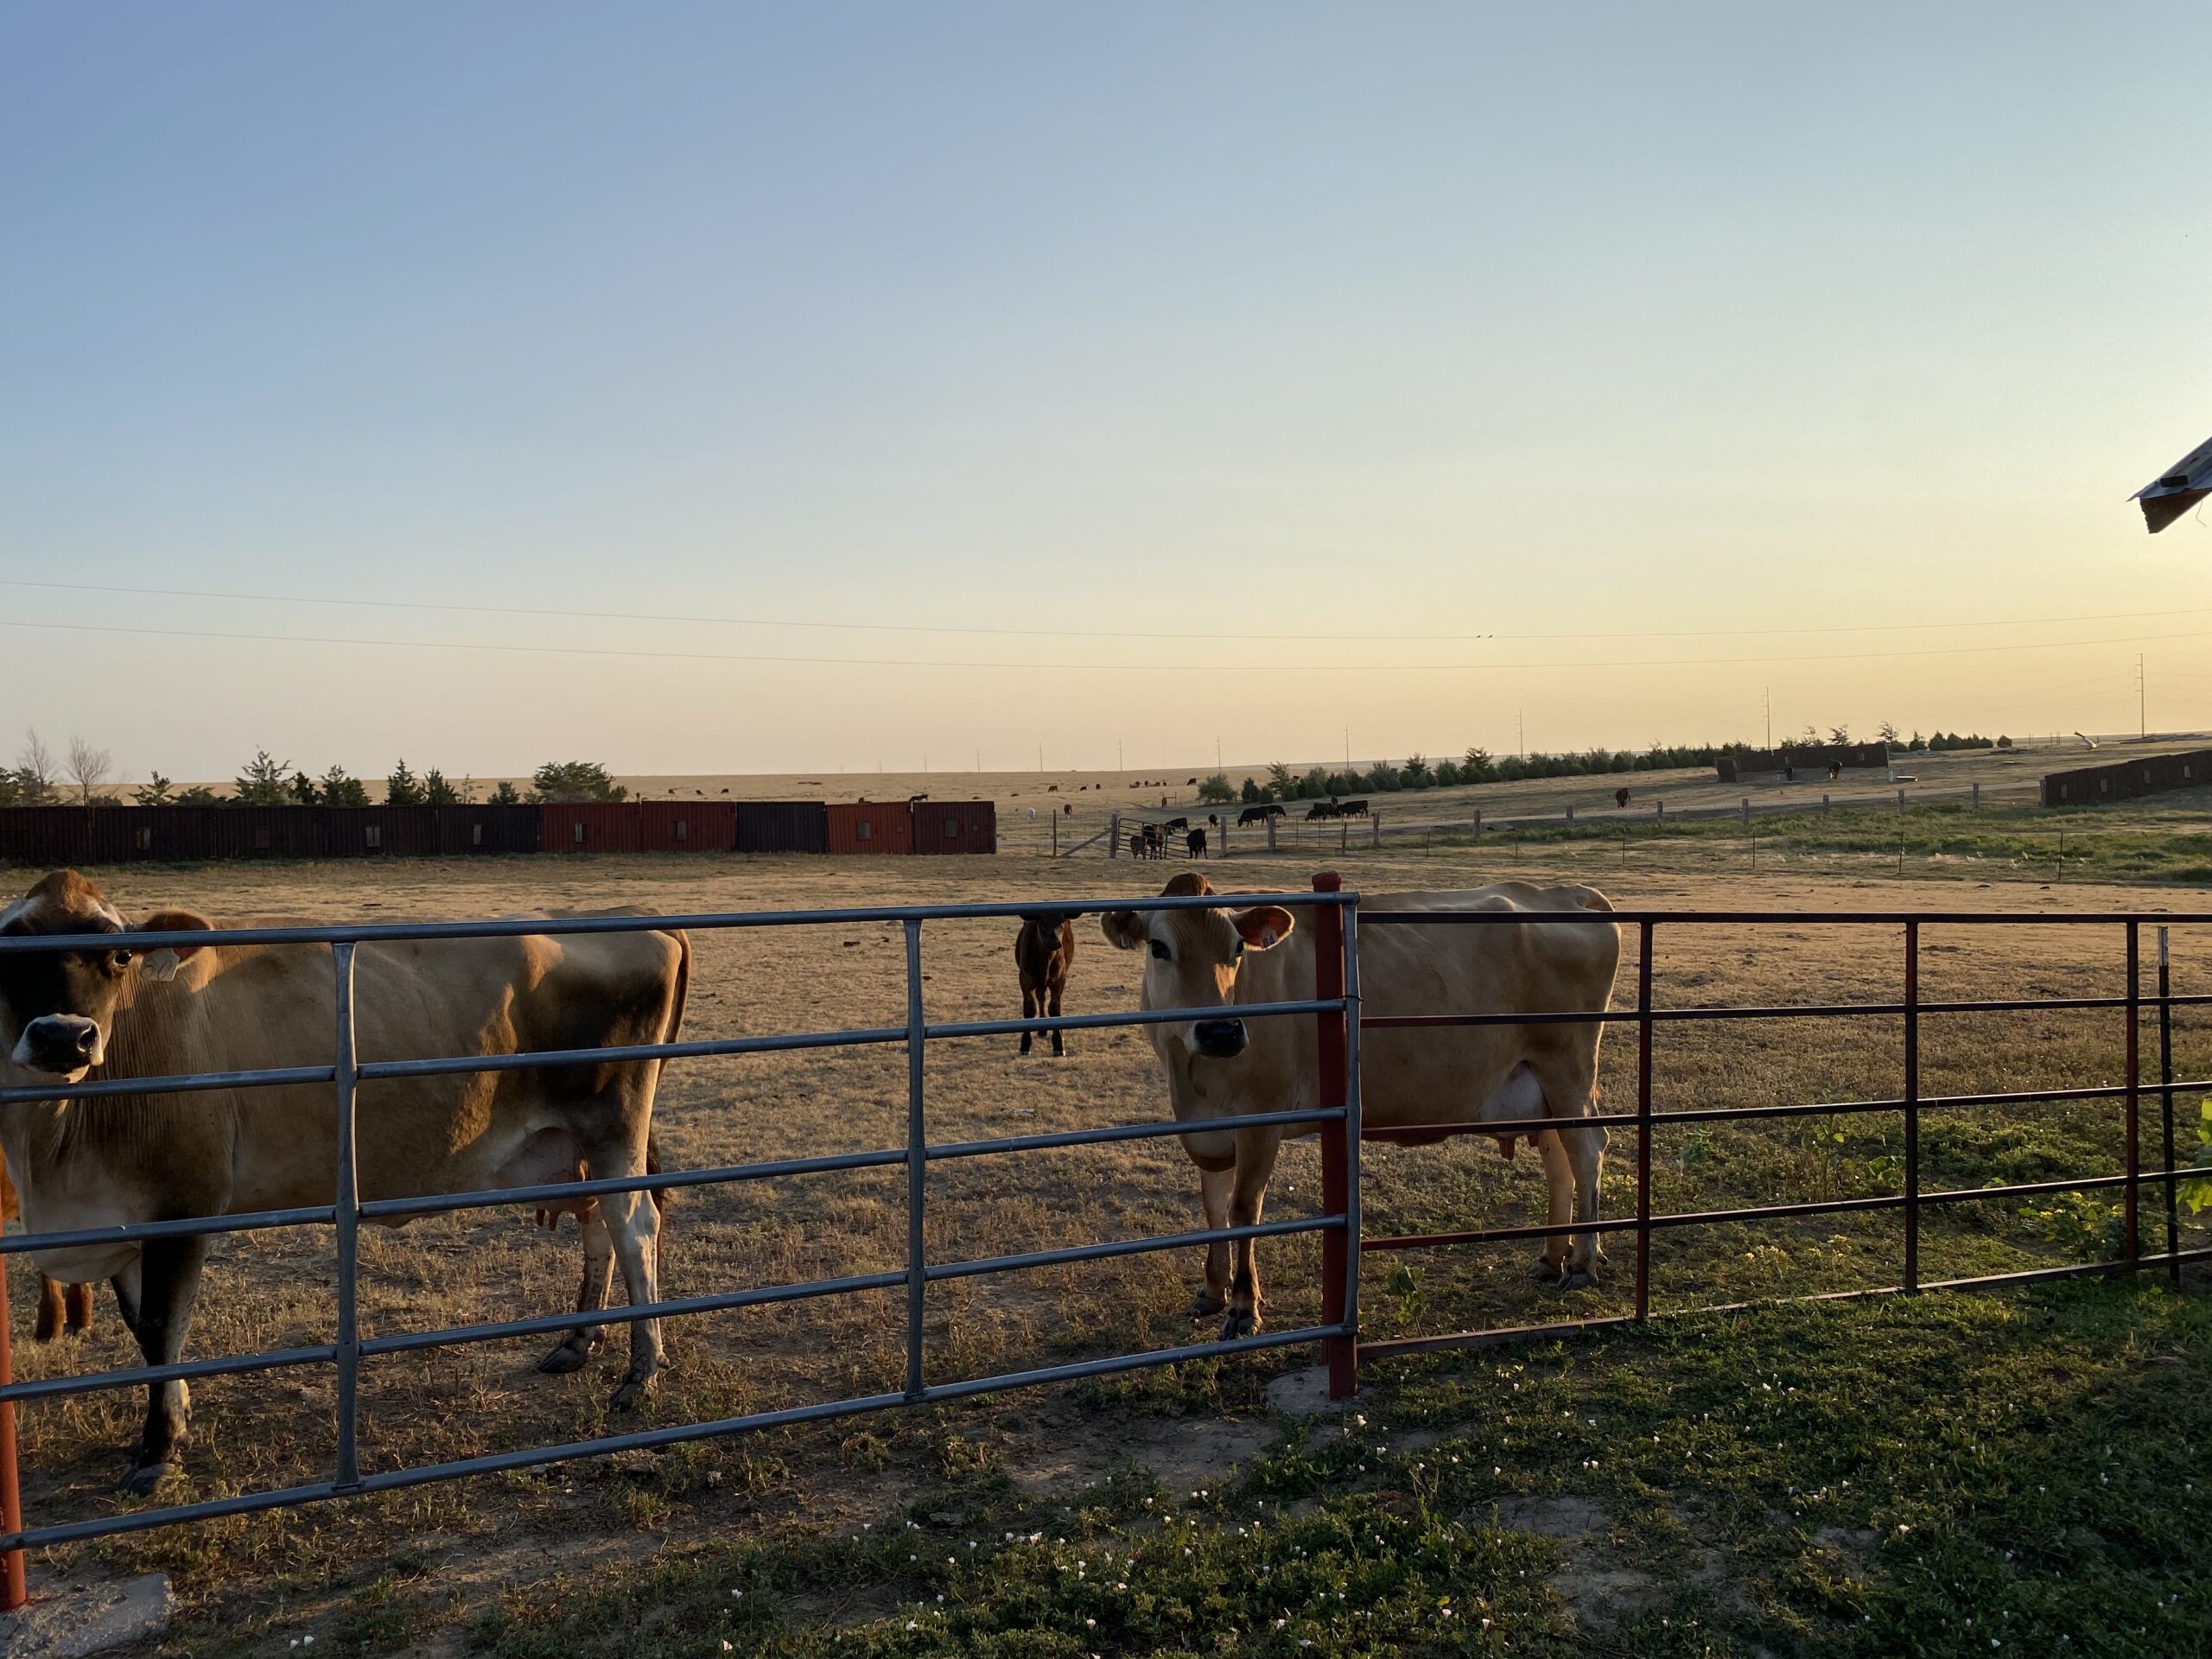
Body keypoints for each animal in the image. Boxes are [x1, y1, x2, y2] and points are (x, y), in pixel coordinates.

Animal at [0, 869, 688, 1494]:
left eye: (118, 955)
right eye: (9, 949)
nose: (64, 1036)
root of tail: (634, 913)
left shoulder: (183, 1205)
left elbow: (163, 1326)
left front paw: (158, 1450)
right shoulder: (122, 1218)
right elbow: (144, 1332)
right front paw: (175, 1420)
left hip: (613, 1122)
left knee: (634, 1227)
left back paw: (642, 1369)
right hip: (579, 1143)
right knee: (599, 1221)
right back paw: (578, 1342)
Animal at [1013, 914, 1076, 1057]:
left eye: (1061, 922)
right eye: (1041, 924)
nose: (1055, 942)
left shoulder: (1059, 979)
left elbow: (1055, 1008)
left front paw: (1059, 1044)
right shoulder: (1025, 979)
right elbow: (1030, 1009)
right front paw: (1025, 1045)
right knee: (1040, 997)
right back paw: (1042, 1029)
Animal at [1103, 874, 1619, 1338]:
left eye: (1237, 949)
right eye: (1158, 948)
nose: (1220, 1032)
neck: (1193, 1078)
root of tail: (1569, 893)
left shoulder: (1261, 1120)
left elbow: (1242, 1209)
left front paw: (1243, 1307)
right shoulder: (1205, 1130)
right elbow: (1212, 1210)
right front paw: (1211, 1292)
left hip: (1568, 1067)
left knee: (1587, 1149)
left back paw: (1582, 1262)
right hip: (1539, 1083)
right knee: (1558, 1158)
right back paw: (1552, 1256)